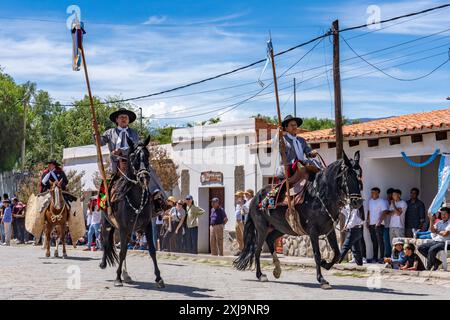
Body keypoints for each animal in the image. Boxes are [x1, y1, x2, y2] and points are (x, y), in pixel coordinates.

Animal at [99, 135, 166, 288]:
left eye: (147, 155)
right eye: (134, 156)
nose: (144, 177)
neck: (135, 199)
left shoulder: (147, 225)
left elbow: (152, 250)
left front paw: (159, 278)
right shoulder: (123, 228)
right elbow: (122, 252)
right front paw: (117, 278)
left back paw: (126, 274)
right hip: (106, 223)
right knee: (105, 241)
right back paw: (104, 263)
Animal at [234, 151, 364, 288]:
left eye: (360, 174)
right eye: (348, 175)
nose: (358, 202)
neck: (319, 196)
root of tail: (254, 198)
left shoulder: (329, 230)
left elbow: (337, 253)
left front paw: (325, 264)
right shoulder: (313, 231)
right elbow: (317, 254)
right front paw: (322, 279)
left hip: (280, 228)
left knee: (269, 241)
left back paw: (277, 269)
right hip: (262, 228)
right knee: (257, 250)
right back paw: (261, 275)